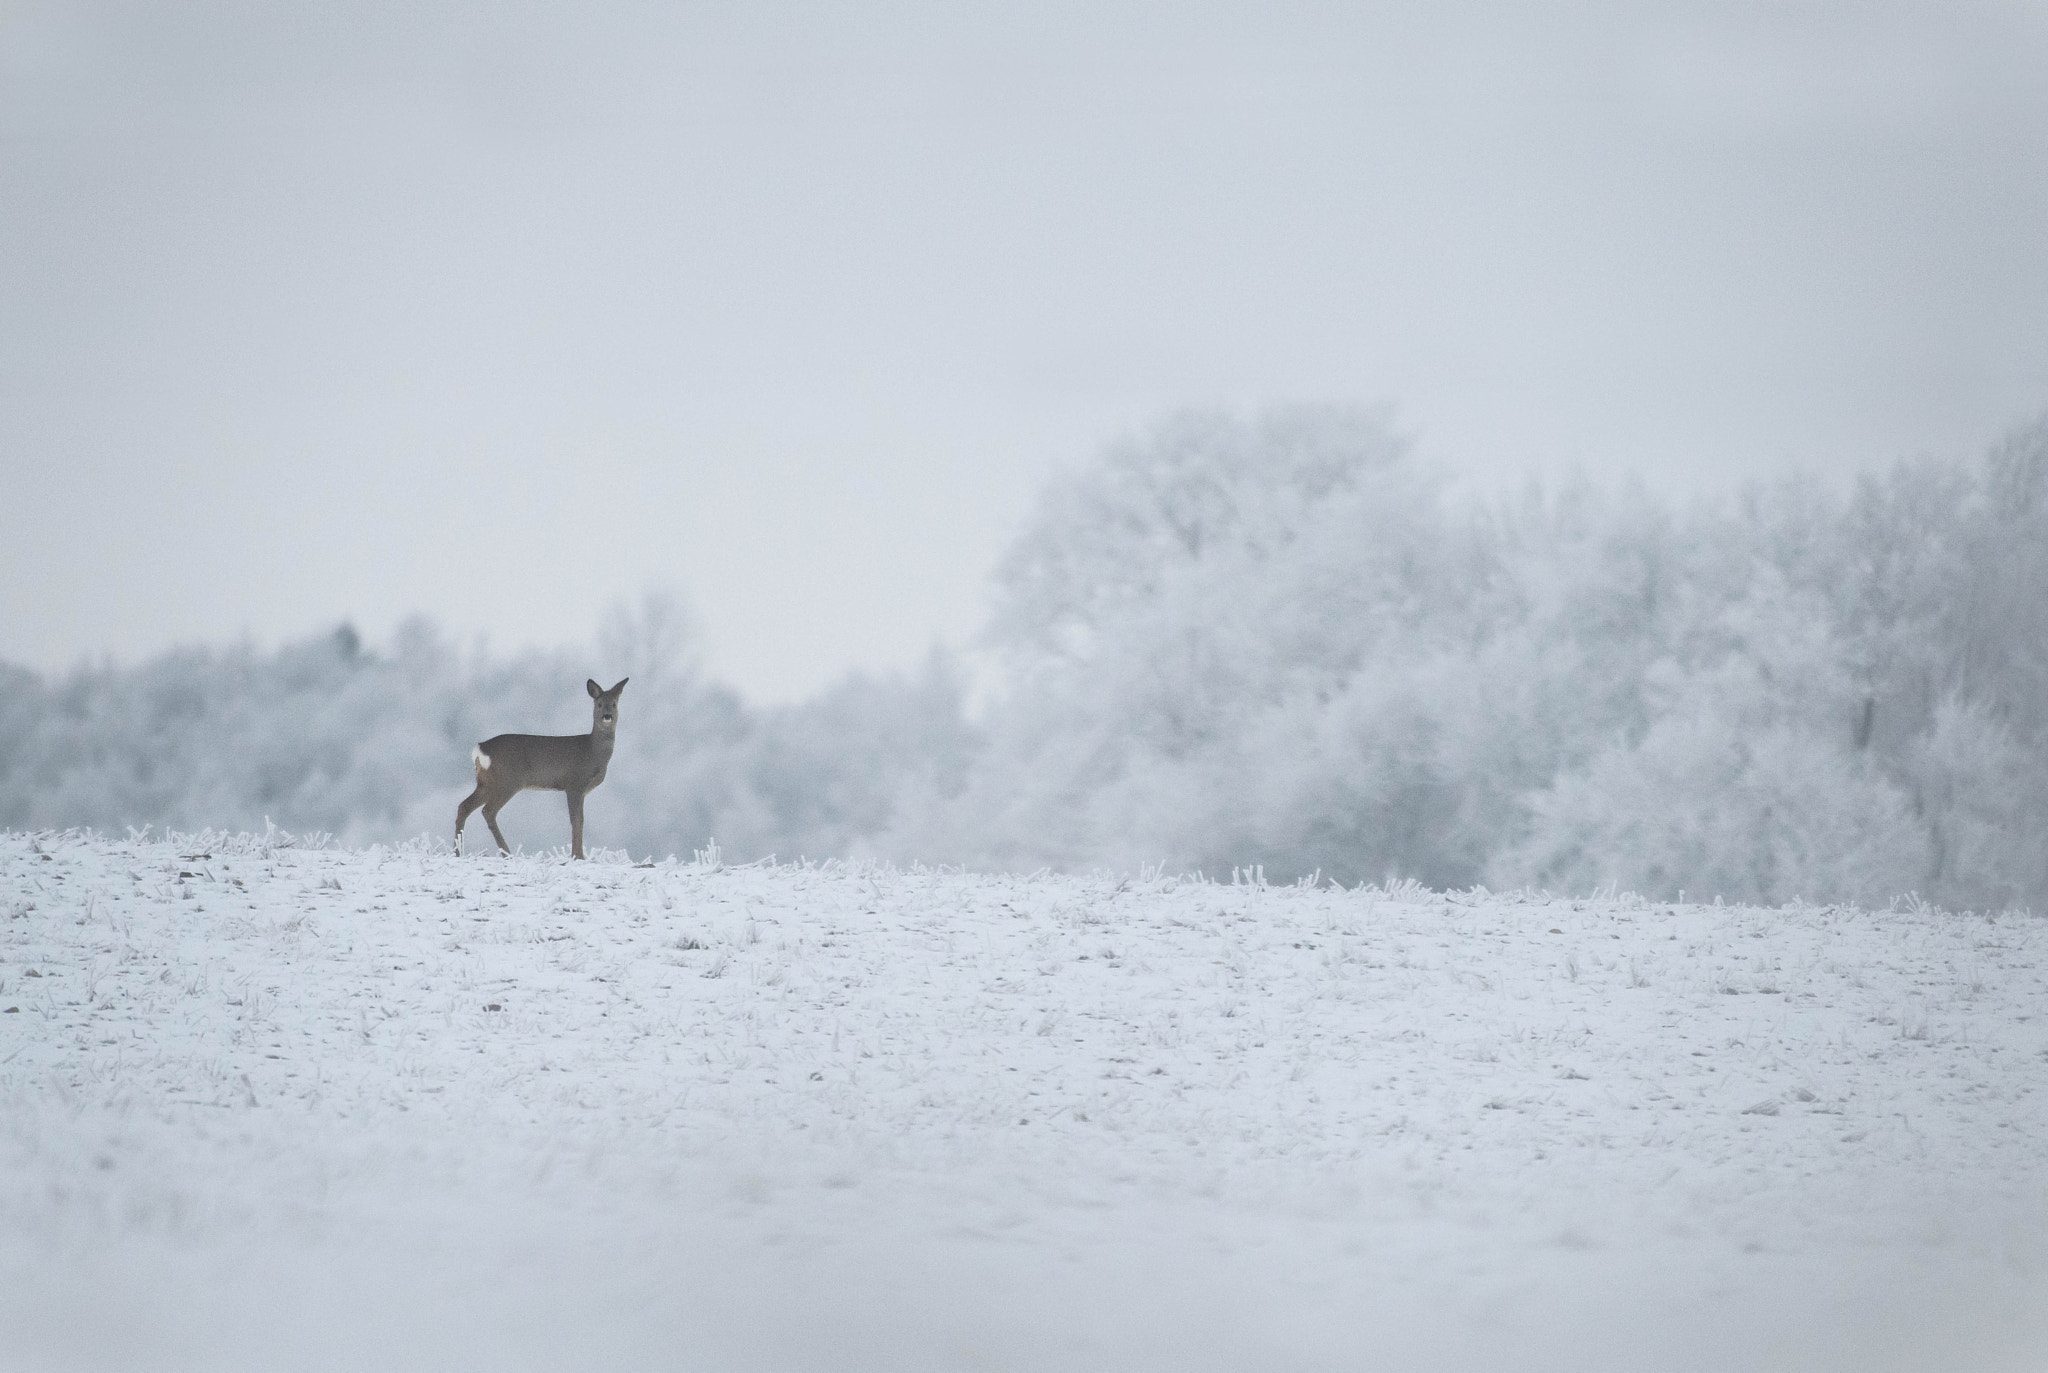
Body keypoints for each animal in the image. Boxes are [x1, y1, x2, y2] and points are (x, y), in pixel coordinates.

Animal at [456, 680, 622, 860]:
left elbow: (580, 820)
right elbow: (576, 820)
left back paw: (457, 851)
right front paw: (578, 856)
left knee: (464, 806)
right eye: (599, 704)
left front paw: (578, 854)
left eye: (614, 704)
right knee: (488, 811)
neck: (592, 751)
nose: (607, 716)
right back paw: (507, 853)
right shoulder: (574, 784)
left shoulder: (580, 789)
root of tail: (480, 749)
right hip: (508, 780)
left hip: (485, 782)